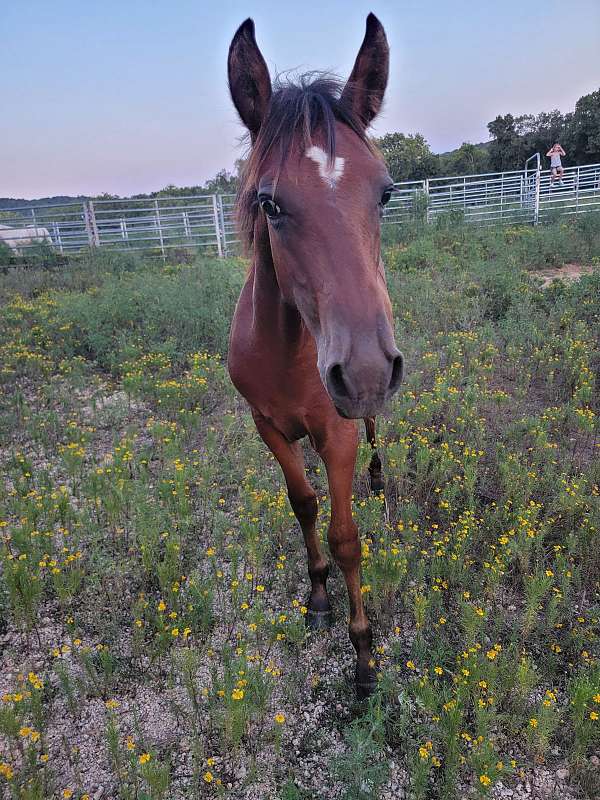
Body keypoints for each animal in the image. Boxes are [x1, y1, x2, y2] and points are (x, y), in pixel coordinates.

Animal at [229, 12, 404, 692]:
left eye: (384, 194)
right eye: (270, 203)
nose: (364, 373)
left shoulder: (338, 433)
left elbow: (345, 537)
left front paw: (364, 659)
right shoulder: (268, 426)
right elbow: (304, 507)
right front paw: (320, 600)